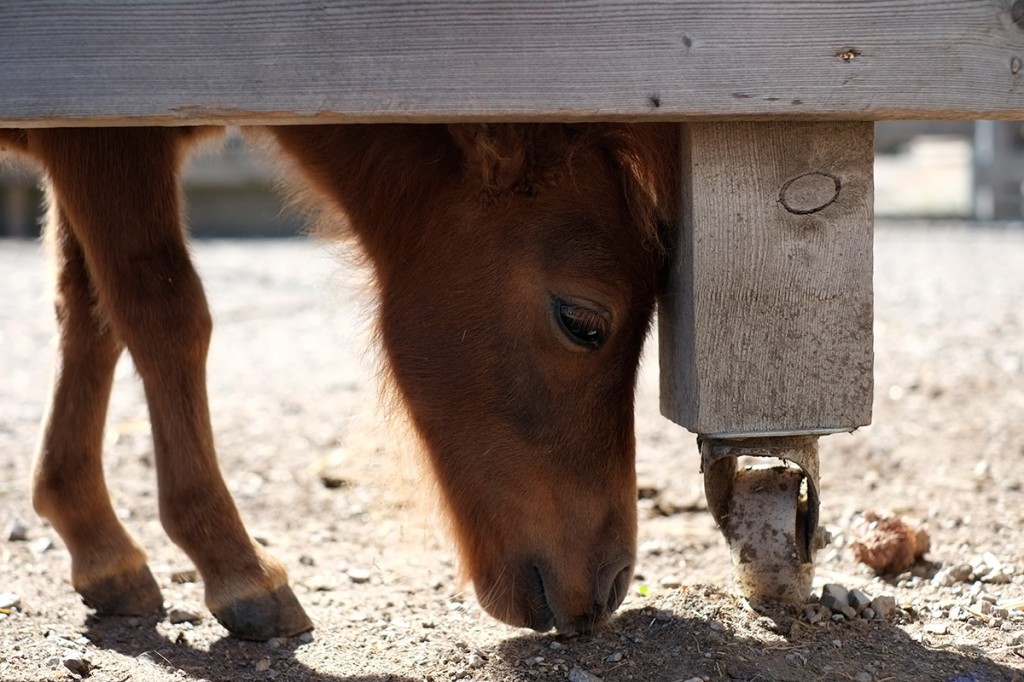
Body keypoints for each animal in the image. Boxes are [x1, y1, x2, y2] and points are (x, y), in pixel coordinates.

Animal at [0, 122, 679, 638]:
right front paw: (237, 568)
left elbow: (88, 313)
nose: (614, 584)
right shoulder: (106, 140)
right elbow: (162, 311)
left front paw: (94, 540)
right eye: (582, 322)